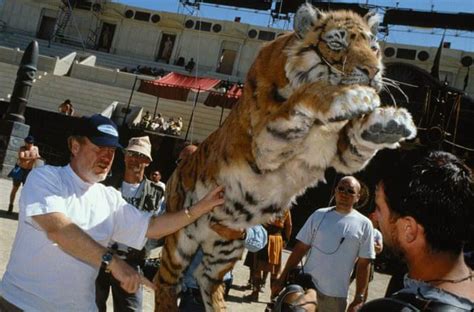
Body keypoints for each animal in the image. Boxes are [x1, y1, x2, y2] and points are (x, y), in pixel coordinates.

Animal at [155, 3, 414, 312]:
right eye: (337, 44)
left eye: (374, 47)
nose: (373, 71)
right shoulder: (267, 141)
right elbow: (305, 96)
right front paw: (355, 96)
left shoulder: (344, 155)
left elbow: (358, 141)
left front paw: (389, 123)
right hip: (180, 237)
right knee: (166, 279)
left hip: (224, 248)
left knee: (206, 279)